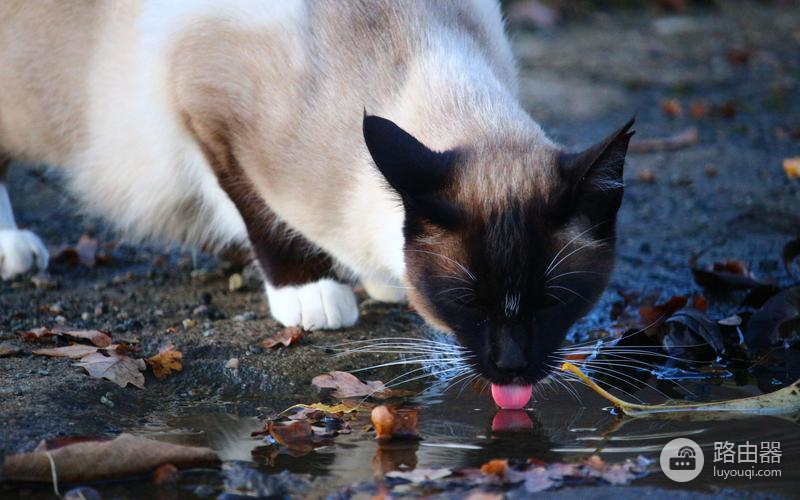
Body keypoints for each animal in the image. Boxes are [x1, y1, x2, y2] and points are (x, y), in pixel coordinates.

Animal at [3, 0, 636, 386]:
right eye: (469, 303)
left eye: (553, 303)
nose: (512, 371)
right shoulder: (207, 109)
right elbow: (256, 208)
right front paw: (312, 293)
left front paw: (380, 280)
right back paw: (13, 248)